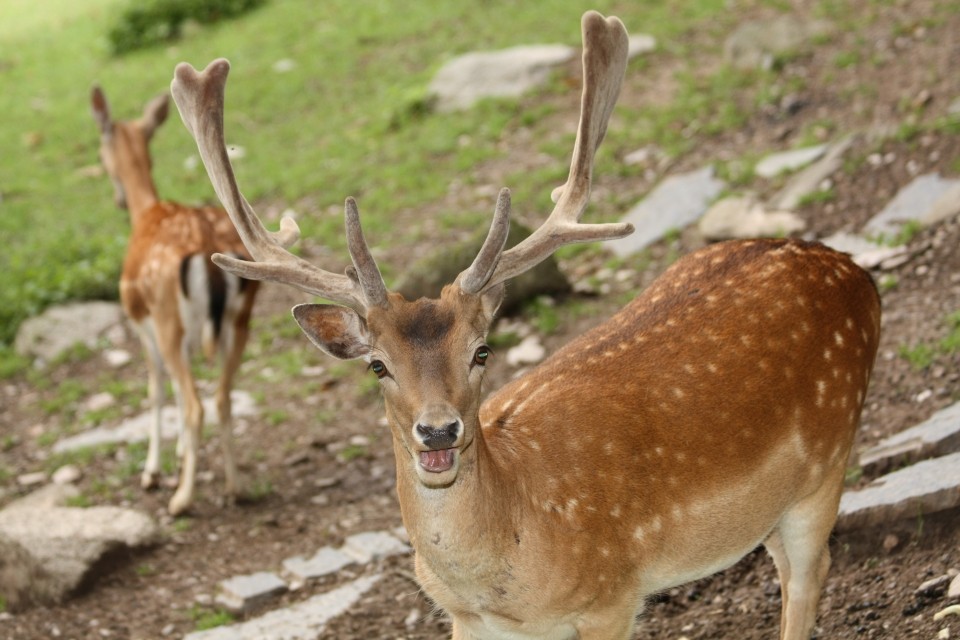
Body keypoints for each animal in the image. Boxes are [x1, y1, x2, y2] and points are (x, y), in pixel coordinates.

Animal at [91, 85, 258, 516]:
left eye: (100, 152)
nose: (116, 198)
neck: (145, 211)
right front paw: (182, 455)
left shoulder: (141, 324)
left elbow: (156, 392)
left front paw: (152, 471)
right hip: (241, 319)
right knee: (222, 397)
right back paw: (237, 487)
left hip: (168, 319)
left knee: (198, 403)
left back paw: (181, 499)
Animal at [167, 11, 876, 640]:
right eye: (377, 364)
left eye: (482, 351)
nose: (438, 431)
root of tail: (851, 269)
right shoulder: (467, 620)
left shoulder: (612, 598)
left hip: (827, 462)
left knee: (809, 577)